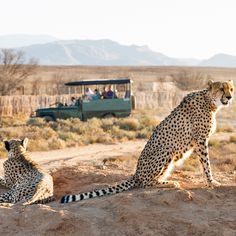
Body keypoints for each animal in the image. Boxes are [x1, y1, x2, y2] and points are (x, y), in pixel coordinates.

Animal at [60, 80, 233, 204]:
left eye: (231, 89)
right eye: (221, 89)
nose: (230, 97)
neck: (210, 102)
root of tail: (136, 173)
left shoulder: (200, 141)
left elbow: (204, 164)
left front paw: (209, 181)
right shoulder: (201, 140)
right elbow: (206, 164)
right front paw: (212, 182)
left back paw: (166, 180)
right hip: (166, 150)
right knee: (145, 183)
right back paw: (170, 183)